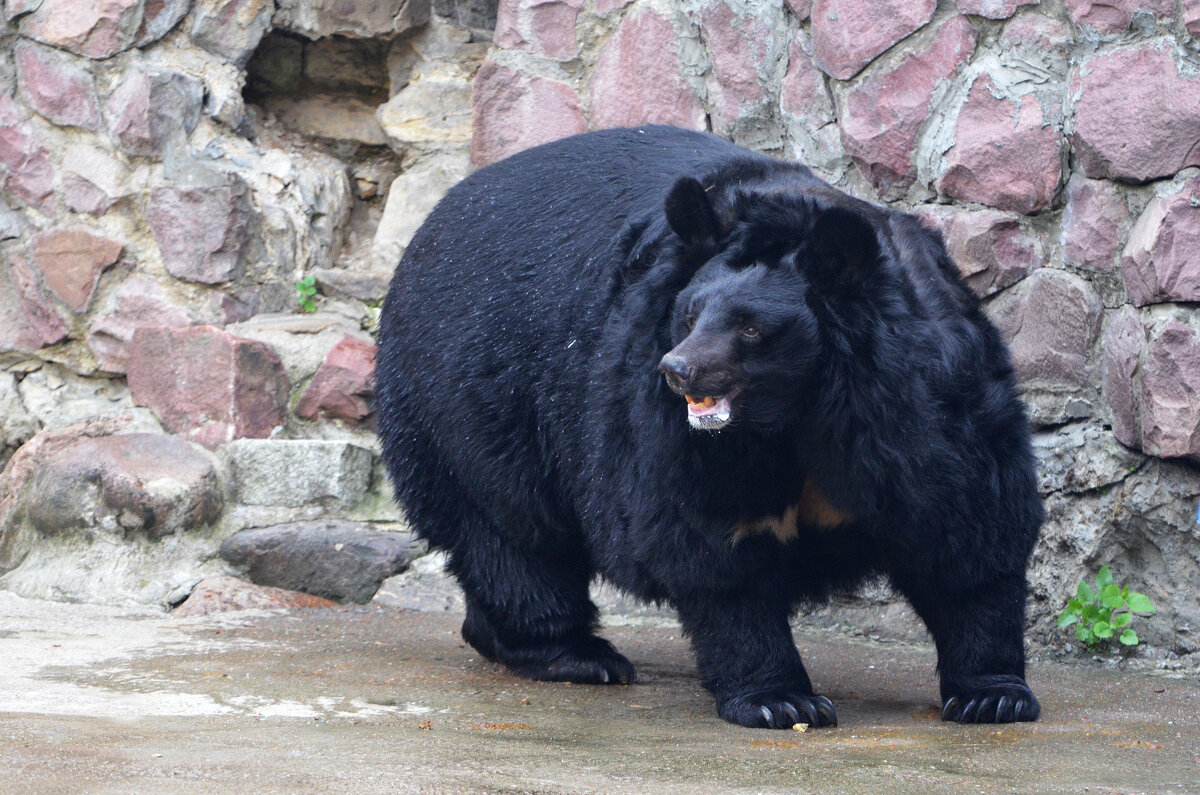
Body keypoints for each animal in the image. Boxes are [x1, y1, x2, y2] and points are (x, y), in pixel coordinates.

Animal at [374, 127, 1041, 730]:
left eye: (750, 327)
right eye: (691, 313)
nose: (677, 369)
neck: (801, 414)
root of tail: (437, 220)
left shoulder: (925, 406)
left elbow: (965, 527)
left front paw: (994, 695)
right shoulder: (674, 434)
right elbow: (710, 543)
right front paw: (782, 701)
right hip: (475, 406)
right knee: (512, 534)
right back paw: (576, 655)